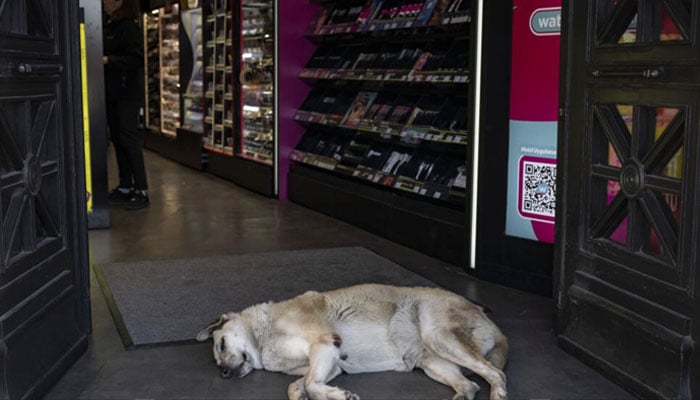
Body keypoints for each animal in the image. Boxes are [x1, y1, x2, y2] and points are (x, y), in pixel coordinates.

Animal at [197, 282, 508, 398]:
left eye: (221, 345)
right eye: (217, 356)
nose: (223, 373)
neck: (265, 336)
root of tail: (496, 327)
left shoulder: (325, 343)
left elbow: (309, 383)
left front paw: (336, 395)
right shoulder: (331, 363)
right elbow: (298, 386)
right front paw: (318, 393)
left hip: (439, 336)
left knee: (496, 374)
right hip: (432, 362)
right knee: (469, 385)